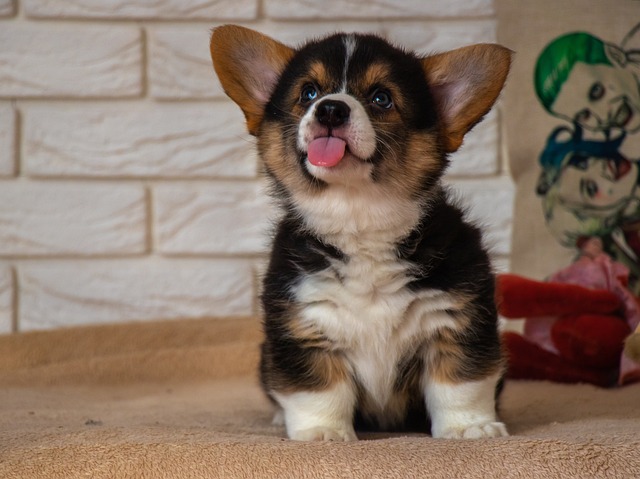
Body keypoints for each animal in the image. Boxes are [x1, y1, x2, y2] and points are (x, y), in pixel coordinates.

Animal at [210, 25, 510, 442]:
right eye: (308, 93)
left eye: (381, 98)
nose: (331, 109)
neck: (358, 217)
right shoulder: (304, 326)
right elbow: (318, 390)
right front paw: (322, 432)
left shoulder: (459, 321)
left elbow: (460, 384)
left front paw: (471, 427)